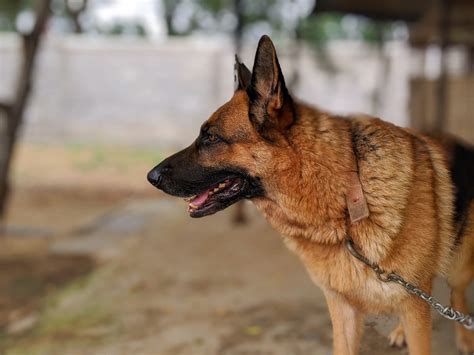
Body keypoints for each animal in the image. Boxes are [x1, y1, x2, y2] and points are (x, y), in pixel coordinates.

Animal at [148, 36, 474, 355]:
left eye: (211, 137)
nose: (151, 177)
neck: (348, 196)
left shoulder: (414, 305)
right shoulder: (344, 309)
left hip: (458, 268)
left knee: (456, 295)